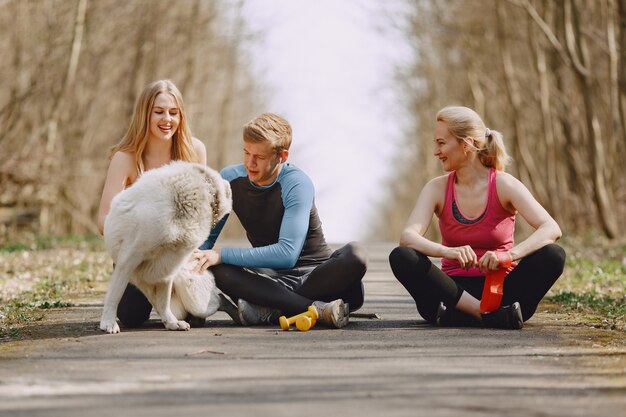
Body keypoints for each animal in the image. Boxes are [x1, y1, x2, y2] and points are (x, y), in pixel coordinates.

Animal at [98, 161, 230, 334]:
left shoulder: (169, 265)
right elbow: (115, 294)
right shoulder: (129, 258)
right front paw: (108, 323)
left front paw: (172, 322)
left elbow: (163, 301)